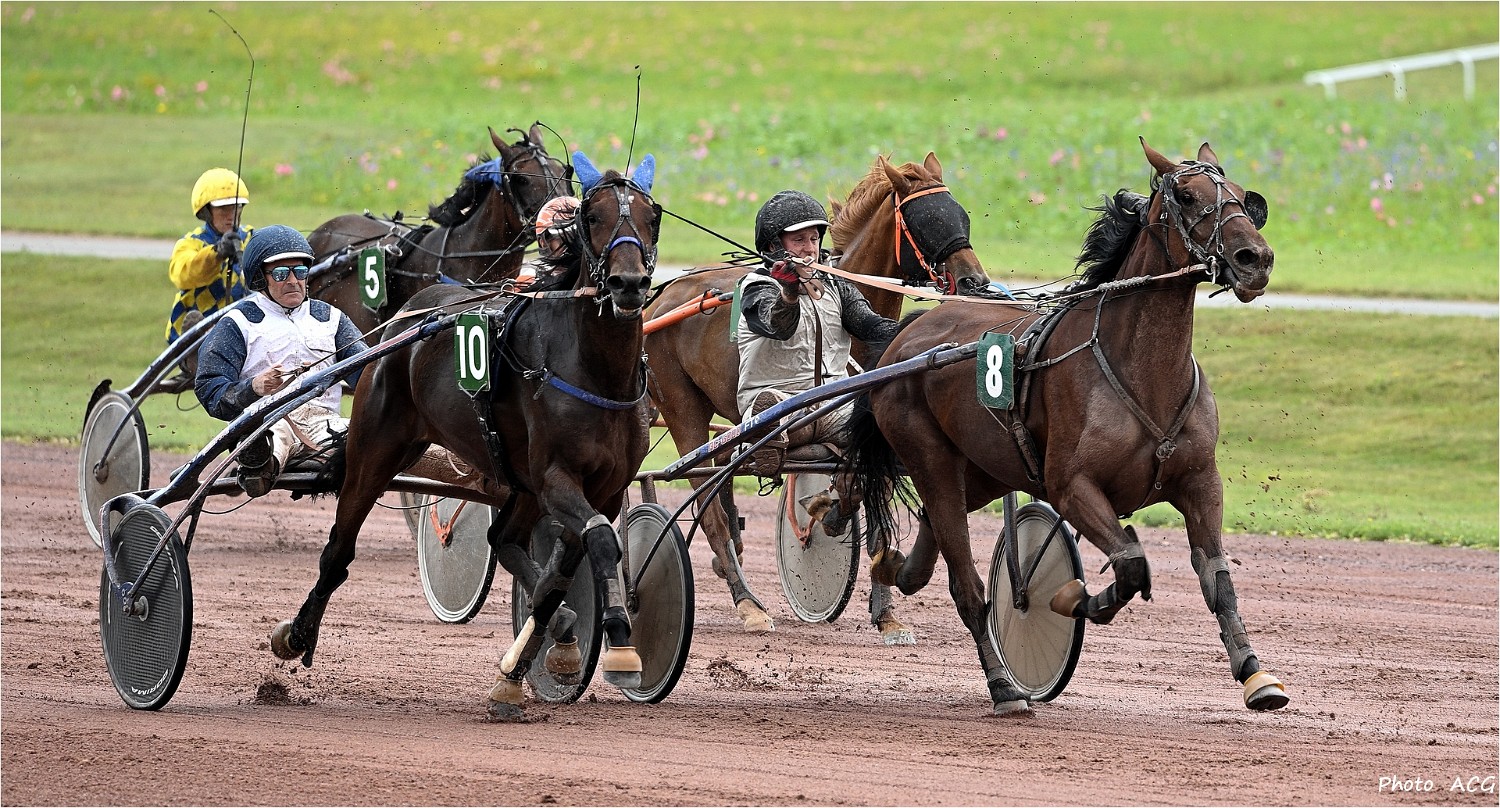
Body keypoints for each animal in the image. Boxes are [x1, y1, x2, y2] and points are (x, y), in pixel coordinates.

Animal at [269, 151, 661, 721]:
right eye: (593, 217)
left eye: (653, 217)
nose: (628, 283)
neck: (595, 370)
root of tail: (412, 312)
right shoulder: (557, 479)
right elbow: (602, 543)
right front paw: (619, 641)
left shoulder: (602, 490)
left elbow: (561, 573)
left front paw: (530, 665)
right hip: (376, 450)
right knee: (338, 550)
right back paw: (298, 634)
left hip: (517, 482)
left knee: (505, 539)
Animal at [642, 152, 994, 639]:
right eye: (924, 221)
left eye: (960, 215)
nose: (976, 283)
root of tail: (660, 299)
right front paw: (827, 514)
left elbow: (868, 501)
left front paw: (885, 611)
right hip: (682, 408)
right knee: (708, 503)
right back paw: (747, 601)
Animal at [847, 139, 1287, 715]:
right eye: (1188, 196)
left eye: (1239, 195)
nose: (1254, 259)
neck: (1143, 370)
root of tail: (905, 337)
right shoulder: (1072, 486)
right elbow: (1130, 562)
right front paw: (1073, 597)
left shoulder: (1199, 482)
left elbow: (1218, 581)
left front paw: (1255, 673)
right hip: (930, 456)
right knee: (965, 583)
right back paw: (1004, 686)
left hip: (983, 469)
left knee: (930, 534)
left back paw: (893, 566)